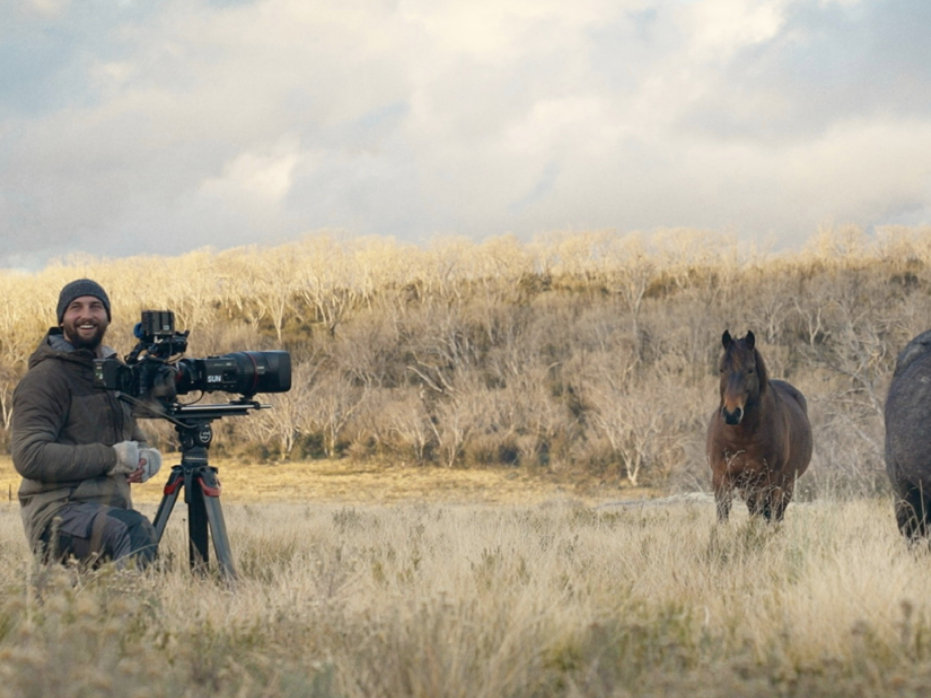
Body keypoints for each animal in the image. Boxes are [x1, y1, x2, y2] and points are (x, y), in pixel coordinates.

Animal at [706, 330, 813, 522]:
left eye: (750, 370)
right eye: (722, 369)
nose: (731, 413)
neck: (741, 437)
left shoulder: (765, 481)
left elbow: (761, 513)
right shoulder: (721, 478)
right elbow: (724, 513)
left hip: (784, 485)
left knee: (775, 514)